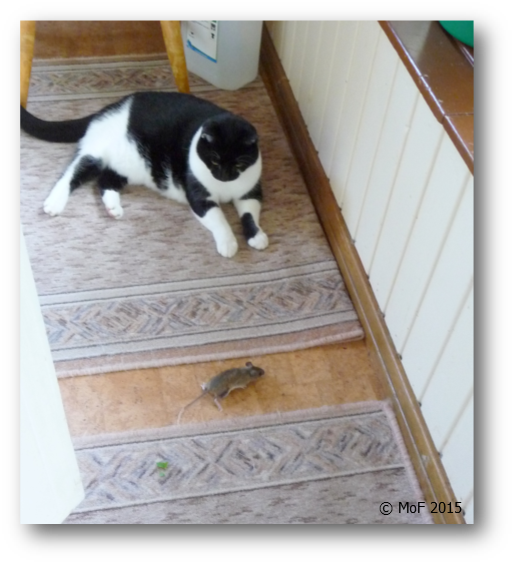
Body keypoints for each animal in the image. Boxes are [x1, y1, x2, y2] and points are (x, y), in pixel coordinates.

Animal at [19, 91, 268, 258]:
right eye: (214, 159)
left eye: (239, 163)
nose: (223, 175)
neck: (224, 188)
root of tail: (109, 107)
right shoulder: (200, 197)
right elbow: (219, 218)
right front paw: (228, 242)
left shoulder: (250, 192)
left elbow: (250, 213)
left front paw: (256, 235)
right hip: (97, 151)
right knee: (74, 170)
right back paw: (54, 203)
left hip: (128, 167)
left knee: (106, 180)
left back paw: (113, 208)